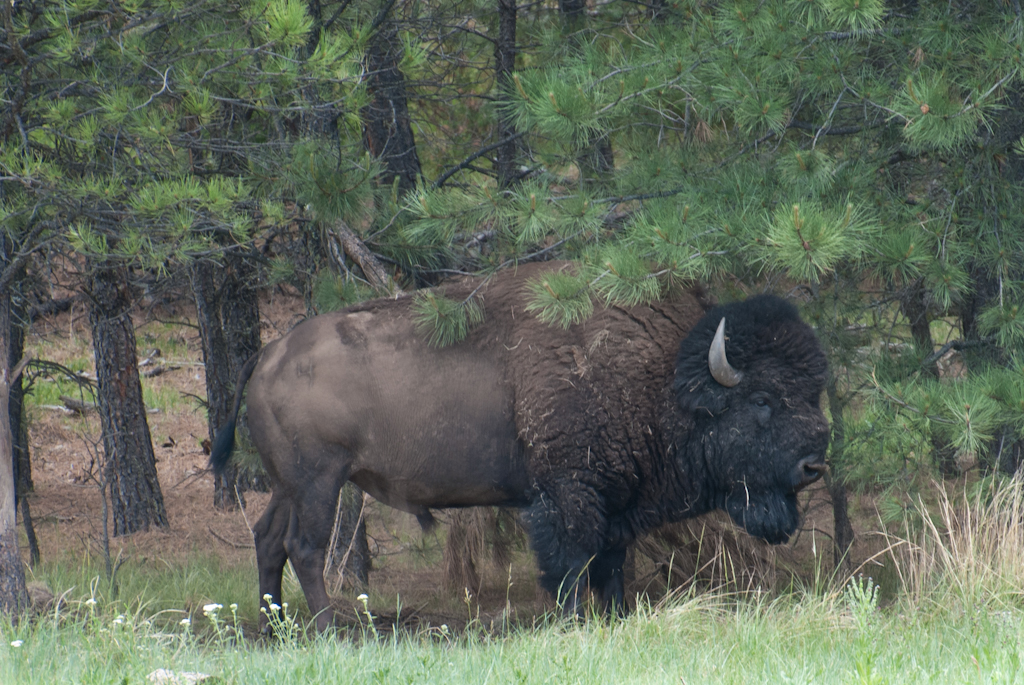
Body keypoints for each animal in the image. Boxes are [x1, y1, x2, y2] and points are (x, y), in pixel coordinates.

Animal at [211, 264, 827, 630]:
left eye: (813, 392)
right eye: (763, 399)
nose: (814, 463)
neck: (665, 376)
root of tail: (269, 352)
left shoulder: (614, 505)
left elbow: (611, 567)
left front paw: (617, 619)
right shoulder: (567, 497)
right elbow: (571, 569)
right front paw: (575, 622)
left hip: (287, 484)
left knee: (267, 540)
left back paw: (273, 627)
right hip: (319, 481)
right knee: (304, 547)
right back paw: (330, 631)